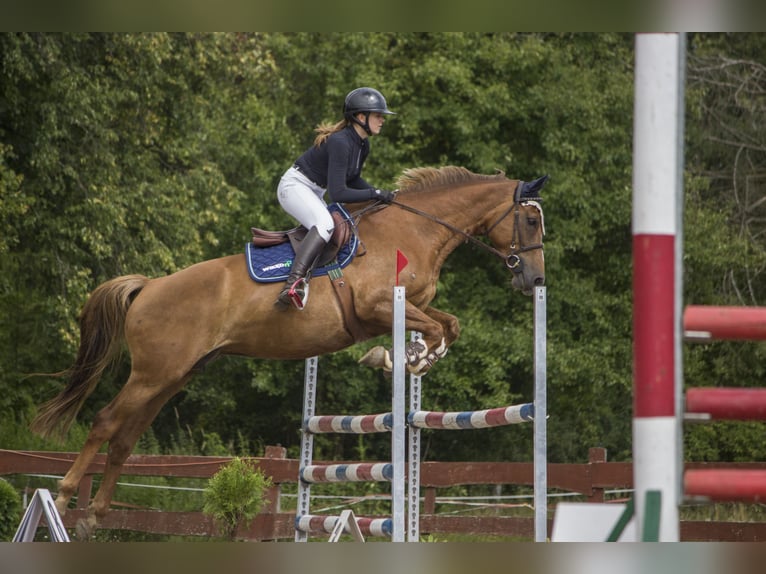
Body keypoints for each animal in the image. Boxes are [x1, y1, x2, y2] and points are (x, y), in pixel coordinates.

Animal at [30, 165, 544, 540]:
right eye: (532, 219)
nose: (534, 279)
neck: (415, 228)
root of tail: (151, 285)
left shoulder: (408, 306)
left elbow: (448, 324)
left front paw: (412, 358)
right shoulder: (380, 306)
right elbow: (436, 327)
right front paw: (399, 358)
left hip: (172, 377)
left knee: (125, 439)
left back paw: (95, 516)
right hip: (153, 374)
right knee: (105, 423)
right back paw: (63, 499)